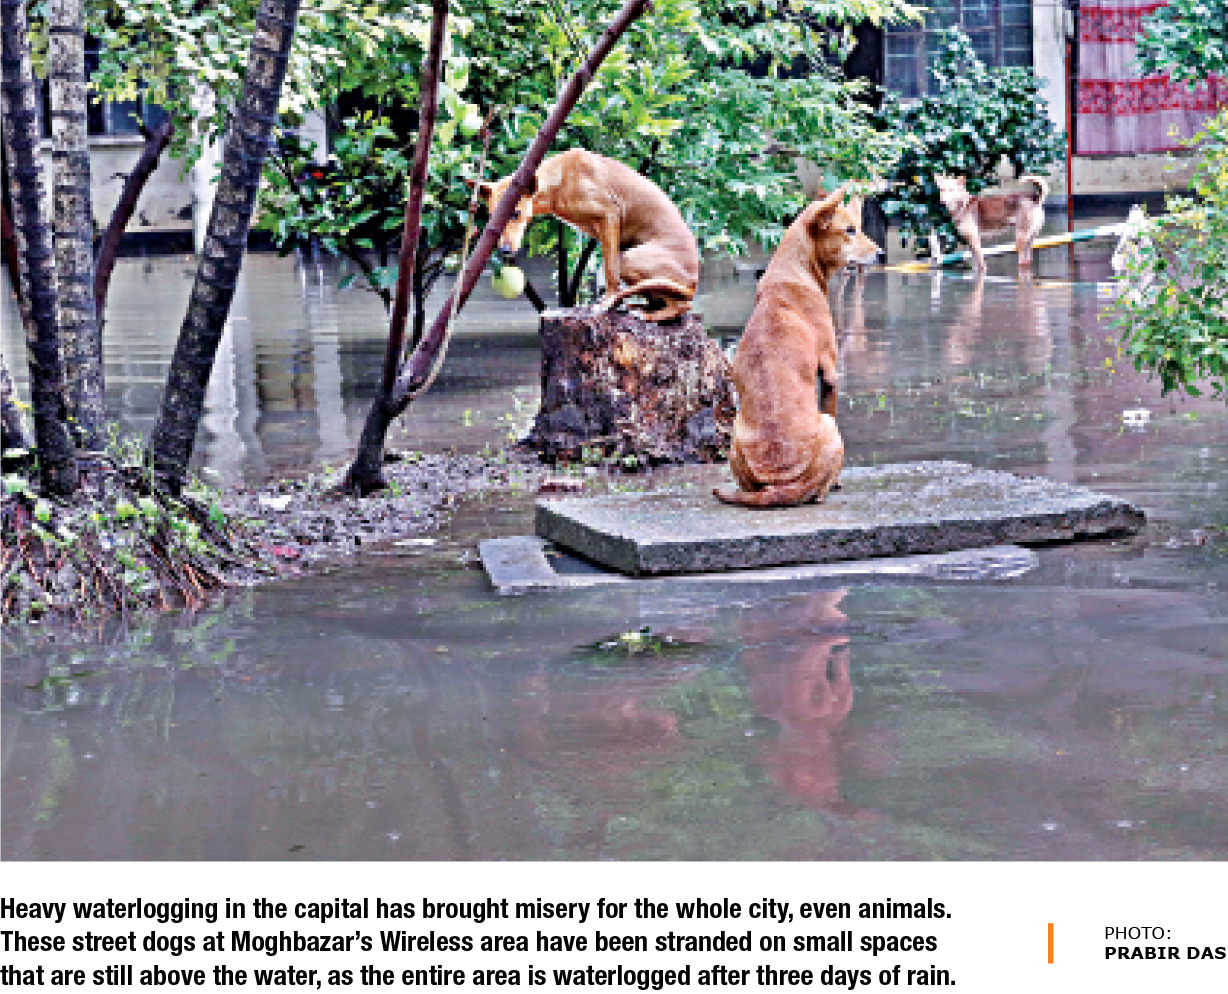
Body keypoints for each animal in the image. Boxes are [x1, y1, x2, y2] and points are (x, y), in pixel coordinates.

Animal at [469, 148, 699, 321]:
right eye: (492, 217)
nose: (504, 251)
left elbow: (610, 272)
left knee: (683, 306)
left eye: (515, 214)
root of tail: (694, 281)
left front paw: (607, 302)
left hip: (630, 259)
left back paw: (648, 314)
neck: (560, 179)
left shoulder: (609, 216)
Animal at [714, 186, 882, 508]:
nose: (881, 254)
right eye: (850, 230)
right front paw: (838, 481)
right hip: (830, 428)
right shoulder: (830, 372)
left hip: (735, 437)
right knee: (818, 495)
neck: (793, 272)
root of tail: (779, 485)